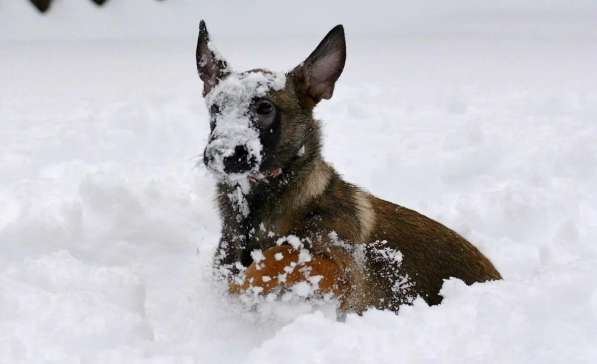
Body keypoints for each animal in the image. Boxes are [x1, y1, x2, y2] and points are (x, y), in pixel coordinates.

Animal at [196, 21, 498, 314]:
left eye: (265, 107)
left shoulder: (340, 269)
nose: (219, 155)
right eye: (215, 108)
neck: (258, 205)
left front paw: (241, 289)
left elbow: (279, 257)